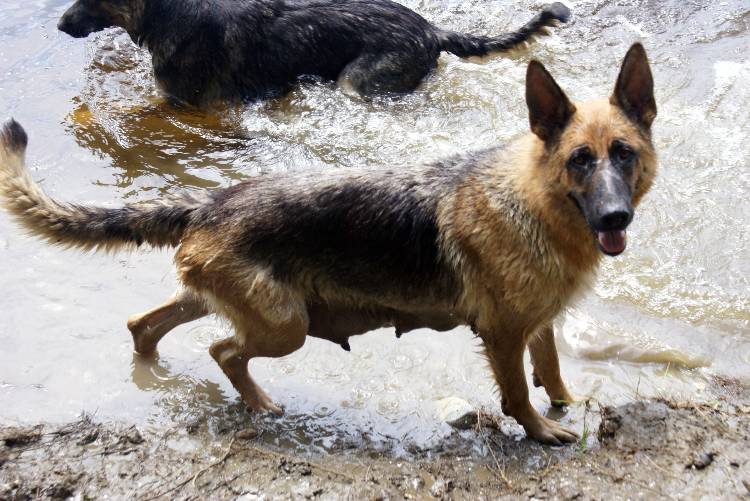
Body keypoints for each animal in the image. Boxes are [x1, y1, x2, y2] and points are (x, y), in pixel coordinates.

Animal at [0, 45, 656, 444]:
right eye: (580, 160)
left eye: (623, 154)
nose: (615, 216)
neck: (534, 201)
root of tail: (209, 203)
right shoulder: (502, 335)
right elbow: (518, 392)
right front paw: (541, 431)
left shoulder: (537, 323)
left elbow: (550, 368)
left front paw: (565, 401)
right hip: (283, 325)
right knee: (222, 350)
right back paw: (259, 403)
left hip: (224, 298)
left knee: (146, 322)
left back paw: (153, 365)